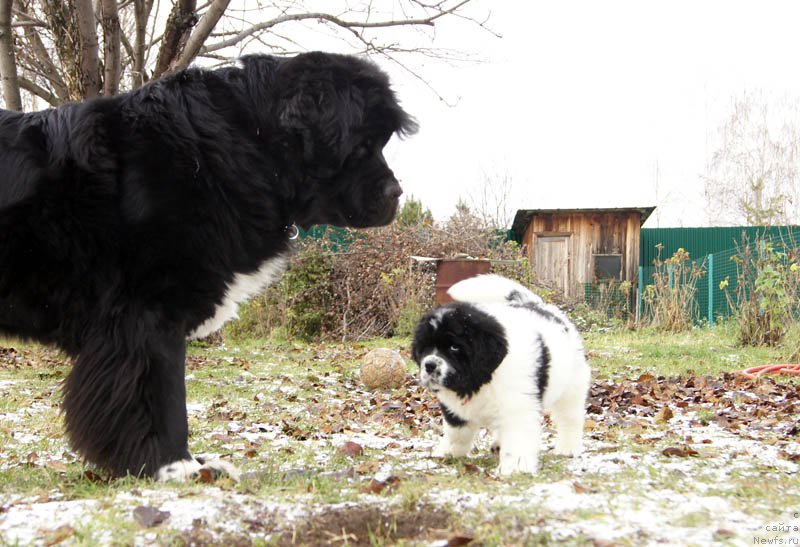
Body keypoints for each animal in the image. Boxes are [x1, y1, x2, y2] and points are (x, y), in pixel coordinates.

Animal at [1, 51, 418, 480]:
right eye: (363, 144)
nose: (397, 192)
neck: (242, 146)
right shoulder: (148, 316)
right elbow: (161, 395)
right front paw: (176, 465)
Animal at [412, 274, 588, 476]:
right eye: (425, 347)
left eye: (454, 347)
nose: (429, 365)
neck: (481, 378)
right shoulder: (454, 408)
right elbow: (457, 431)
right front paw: (448, 452)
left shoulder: (518, 406)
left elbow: (518, 438)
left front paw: (515, 467)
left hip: (571, 387)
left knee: (570, 418)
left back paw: (568, 448)